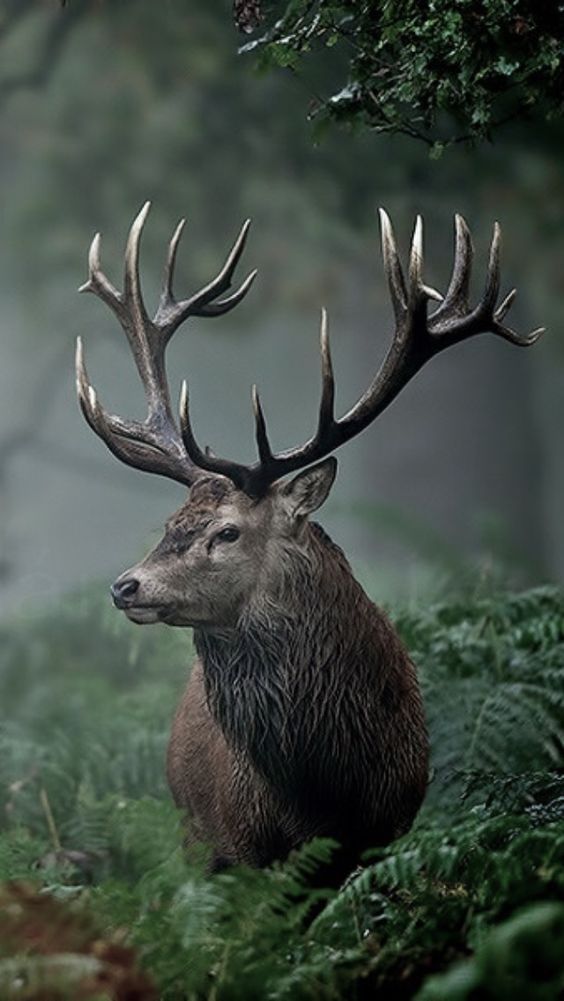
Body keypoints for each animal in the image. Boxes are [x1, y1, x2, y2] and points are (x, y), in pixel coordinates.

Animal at [74, 205, 540, 876]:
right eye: (168, 524)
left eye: (227, 531)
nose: (125, 586)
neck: (317, 791)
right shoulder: (240, 845)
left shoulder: (384, 831)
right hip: (192, 832)